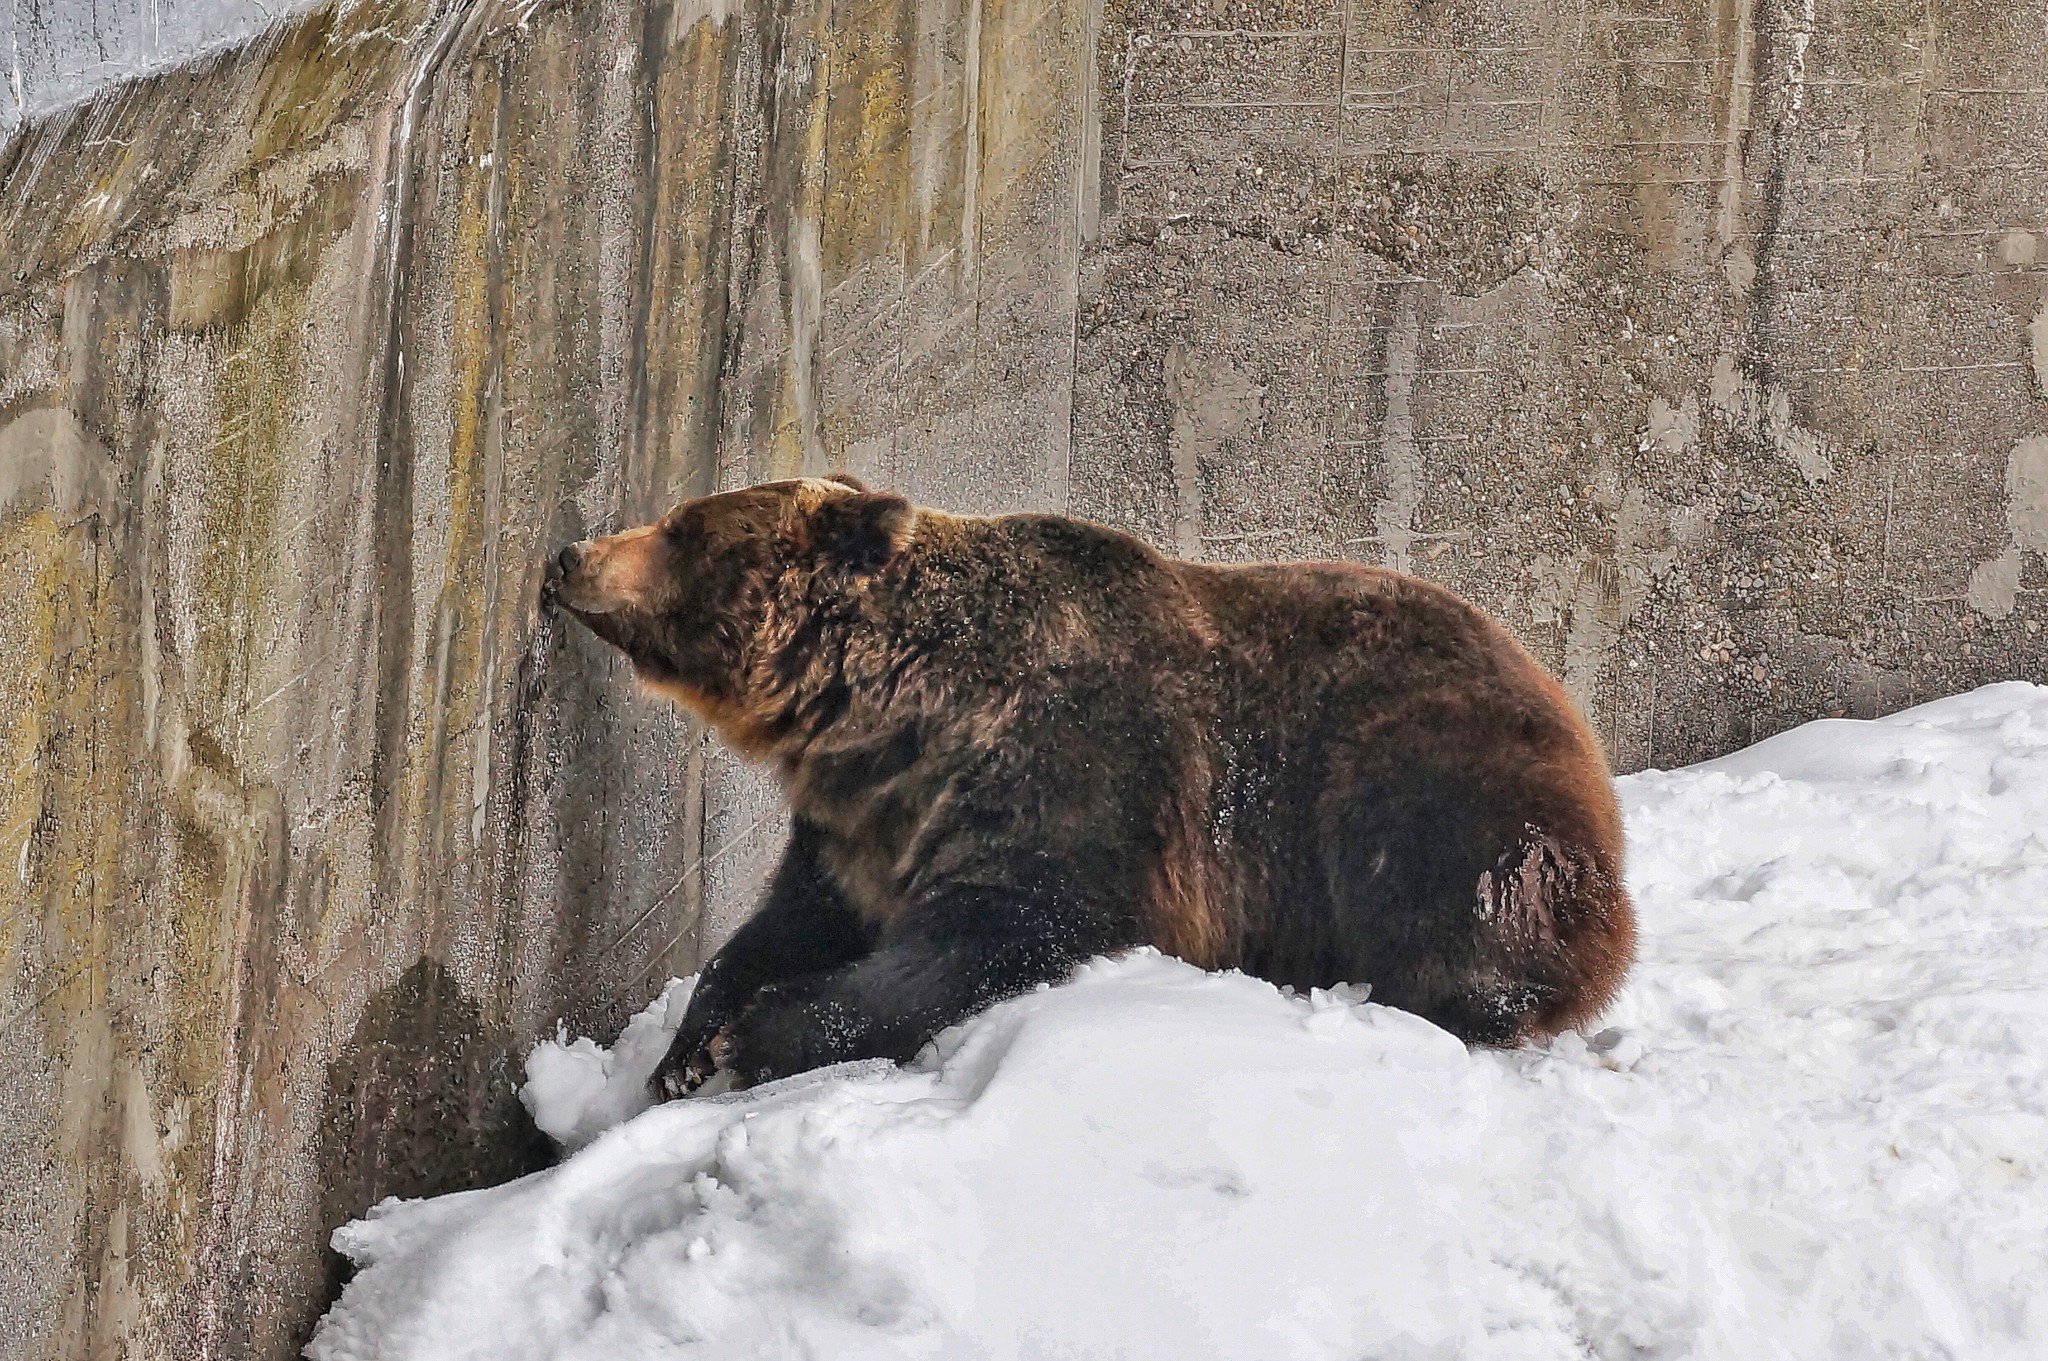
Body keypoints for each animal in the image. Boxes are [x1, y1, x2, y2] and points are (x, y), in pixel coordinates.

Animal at [544, 476, 1630, 1096]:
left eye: (683, 528)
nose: (569, 552)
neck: (888, 710)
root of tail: (1571, 709)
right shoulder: (863, 820)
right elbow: (785, 921)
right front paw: (688, 1045)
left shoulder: (1066, 779)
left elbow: (990, 931)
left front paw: (765, 1035)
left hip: (1431, 776)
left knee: (1470, 899)